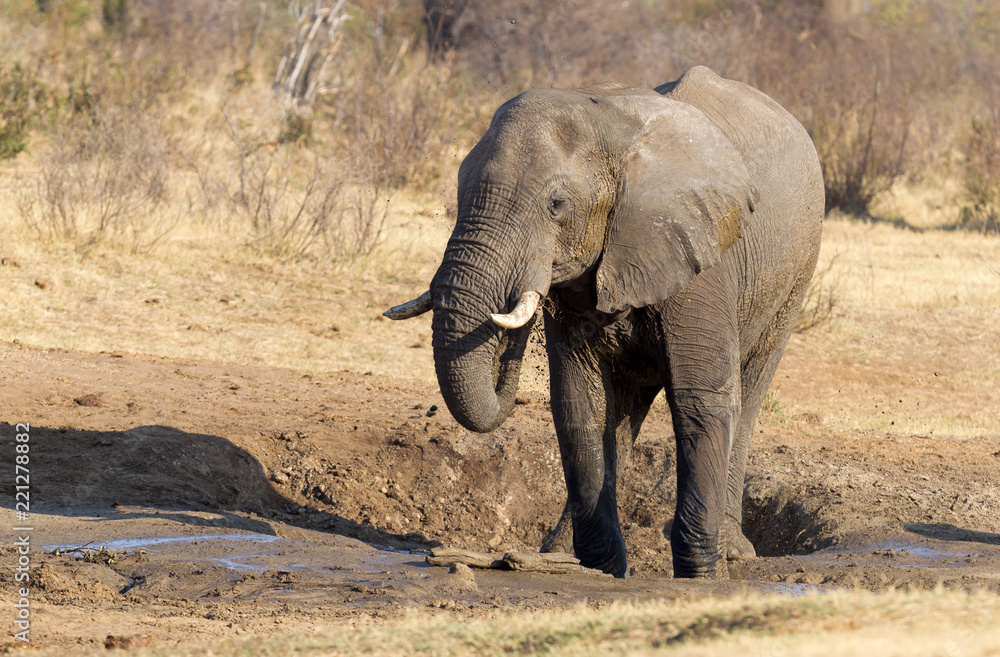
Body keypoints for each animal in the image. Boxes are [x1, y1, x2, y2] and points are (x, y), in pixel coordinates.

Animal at [386, 66, 824, 576]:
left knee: (749, 391)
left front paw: (701, 574)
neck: (608, 120)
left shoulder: (704, 258)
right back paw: (557, 552)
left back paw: (732, 550)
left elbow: (701, 399)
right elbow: (582, 403)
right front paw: (602, 567)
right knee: (625, 412)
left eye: (556, 204)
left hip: (797, 269)